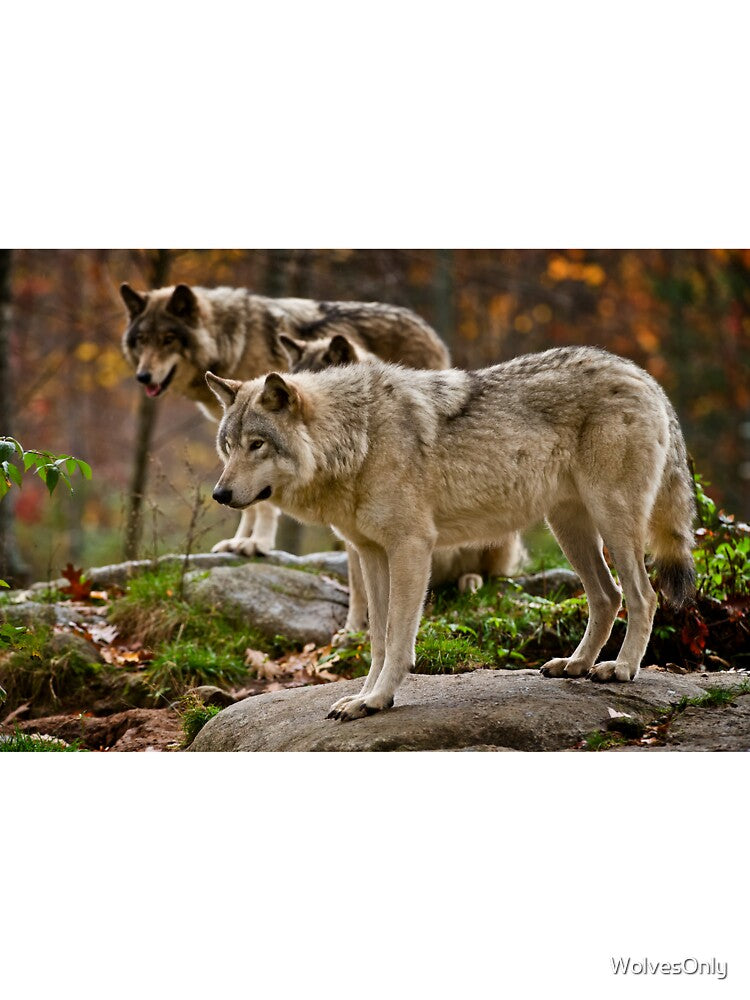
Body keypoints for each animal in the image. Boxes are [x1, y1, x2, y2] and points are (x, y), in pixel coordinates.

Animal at [119, 282, 450, 556]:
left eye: (168, 339)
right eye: (142, 340)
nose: (142, 376)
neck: (233, 342)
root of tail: (427, 328)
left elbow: (263, 502)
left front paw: (256, 544)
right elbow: (247, 501)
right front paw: (238, 541)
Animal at [206, 346, 696, 720]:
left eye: (257, 445)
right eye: (227, 447)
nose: (220, 494)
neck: (359, 438)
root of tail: (644, 377)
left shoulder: (411, 549)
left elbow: (397, 637)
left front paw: (378, 699)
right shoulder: (370, 553)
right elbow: (377, 638)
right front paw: (362, 698)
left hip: (613, 522)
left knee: (642, 596)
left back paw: (622, 668)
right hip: (569, 529)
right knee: (607, 596)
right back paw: (575, 664)